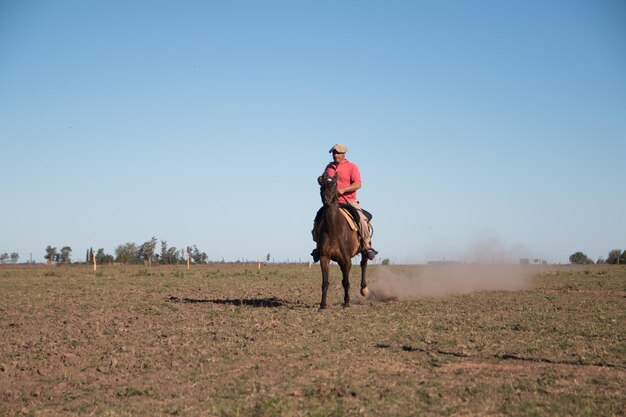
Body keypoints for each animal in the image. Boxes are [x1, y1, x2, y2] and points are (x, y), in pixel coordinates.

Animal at [314, 172, 368, 308]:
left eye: (334, 183)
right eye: (321, 184)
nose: (326, 199)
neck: (334, 231)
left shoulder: (347, 260)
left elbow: (346, 282)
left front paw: (347, 302)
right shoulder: (324, 257)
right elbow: (325, 282)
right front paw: (322, 305)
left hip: (364, 249)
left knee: (363, 264)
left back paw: (364, 289)